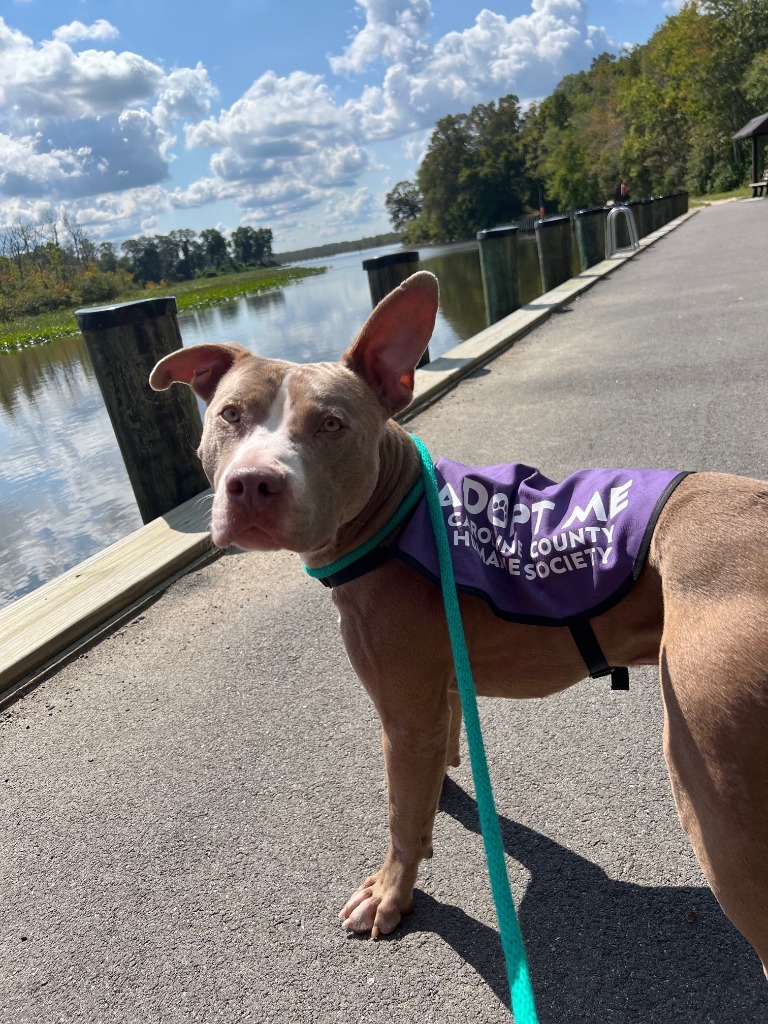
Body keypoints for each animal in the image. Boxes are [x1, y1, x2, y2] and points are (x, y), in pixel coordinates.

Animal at [150, 270, 768, 974]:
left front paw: (391, 895)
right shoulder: (434, 695)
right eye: (229, 415)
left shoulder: (404, 712)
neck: (398, 515)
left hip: (716, 793)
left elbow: (400, 814)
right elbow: (428, 777)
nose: (253, 483)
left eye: (331, 424)